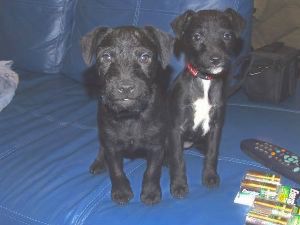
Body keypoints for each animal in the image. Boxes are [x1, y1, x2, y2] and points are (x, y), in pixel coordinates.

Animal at [80, 25, 173, 204]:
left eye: (145, 57)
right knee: (101, 148)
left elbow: (152, 170)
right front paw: (121, 191)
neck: (130, 115)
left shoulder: (156, 146)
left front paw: (150, 193)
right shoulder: (111, 145)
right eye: (106, 57)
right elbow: (116, 170)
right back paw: (98, 163)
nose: (125, 87)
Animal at [168, 7, 245, 198]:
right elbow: (178, 159)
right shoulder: (175, 128)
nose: (215, 58)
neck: (204, 80)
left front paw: (210, 176)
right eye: (196, 37)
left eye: (227, 35)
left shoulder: (216, 126)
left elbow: (212, 153)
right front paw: (179, 185)